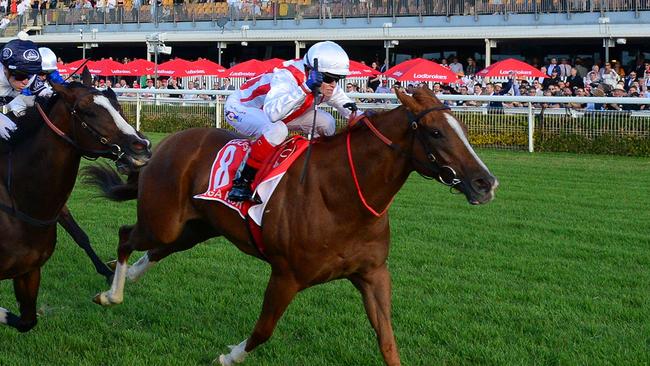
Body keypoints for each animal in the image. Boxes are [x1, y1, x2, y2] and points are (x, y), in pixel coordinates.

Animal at [0, 82, 151, 332]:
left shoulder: (29, 270)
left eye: (118, 105)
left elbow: (27, 321)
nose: (143, 147)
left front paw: (108, 273)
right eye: (87, 111)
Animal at [87, 87, 496, 364]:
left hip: (198, 227)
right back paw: (111, 293)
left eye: (461, 127)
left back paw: (125, 280)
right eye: (436, 133)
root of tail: (164, 144)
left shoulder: (373, 273)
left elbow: (387, 340)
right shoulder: (286, 275)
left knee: (158, 250)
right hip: (164, 220)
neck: (341, 196)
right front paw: (228, 356)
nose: (485, 183)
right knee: (126, 237)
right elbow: (263, 330)